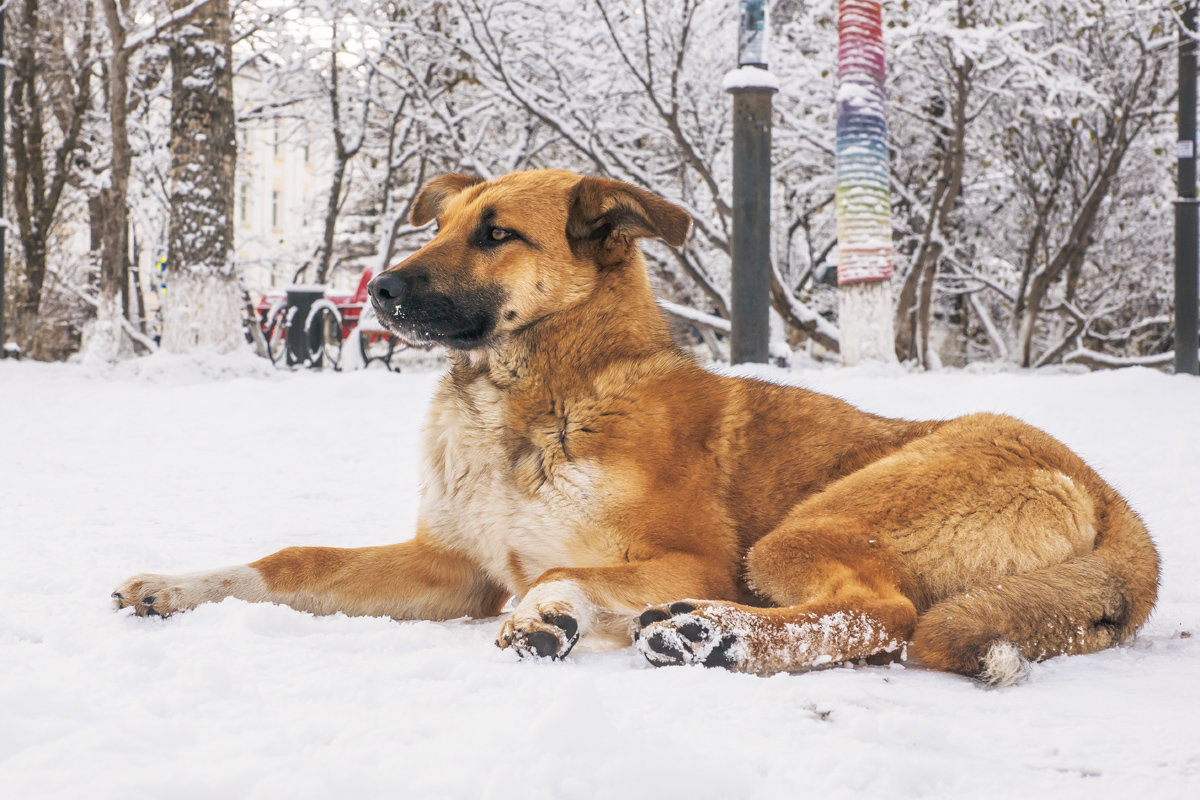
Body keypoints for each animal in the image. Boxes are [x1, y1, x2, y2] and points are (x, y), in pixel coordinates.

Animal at [112, 165, 1152, 686]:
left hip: (805, 527)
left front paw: (552, 616)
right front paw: (175, 585)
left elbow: (559, 575)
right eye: (438, 224)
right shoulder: (452, 567)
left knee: (884, 613)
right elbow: (293, 562)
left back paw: (716, 638)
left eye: (496, 233)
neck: (539, 400)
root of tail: (1112, 497)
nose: (381, 293)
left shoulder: (691, 559)